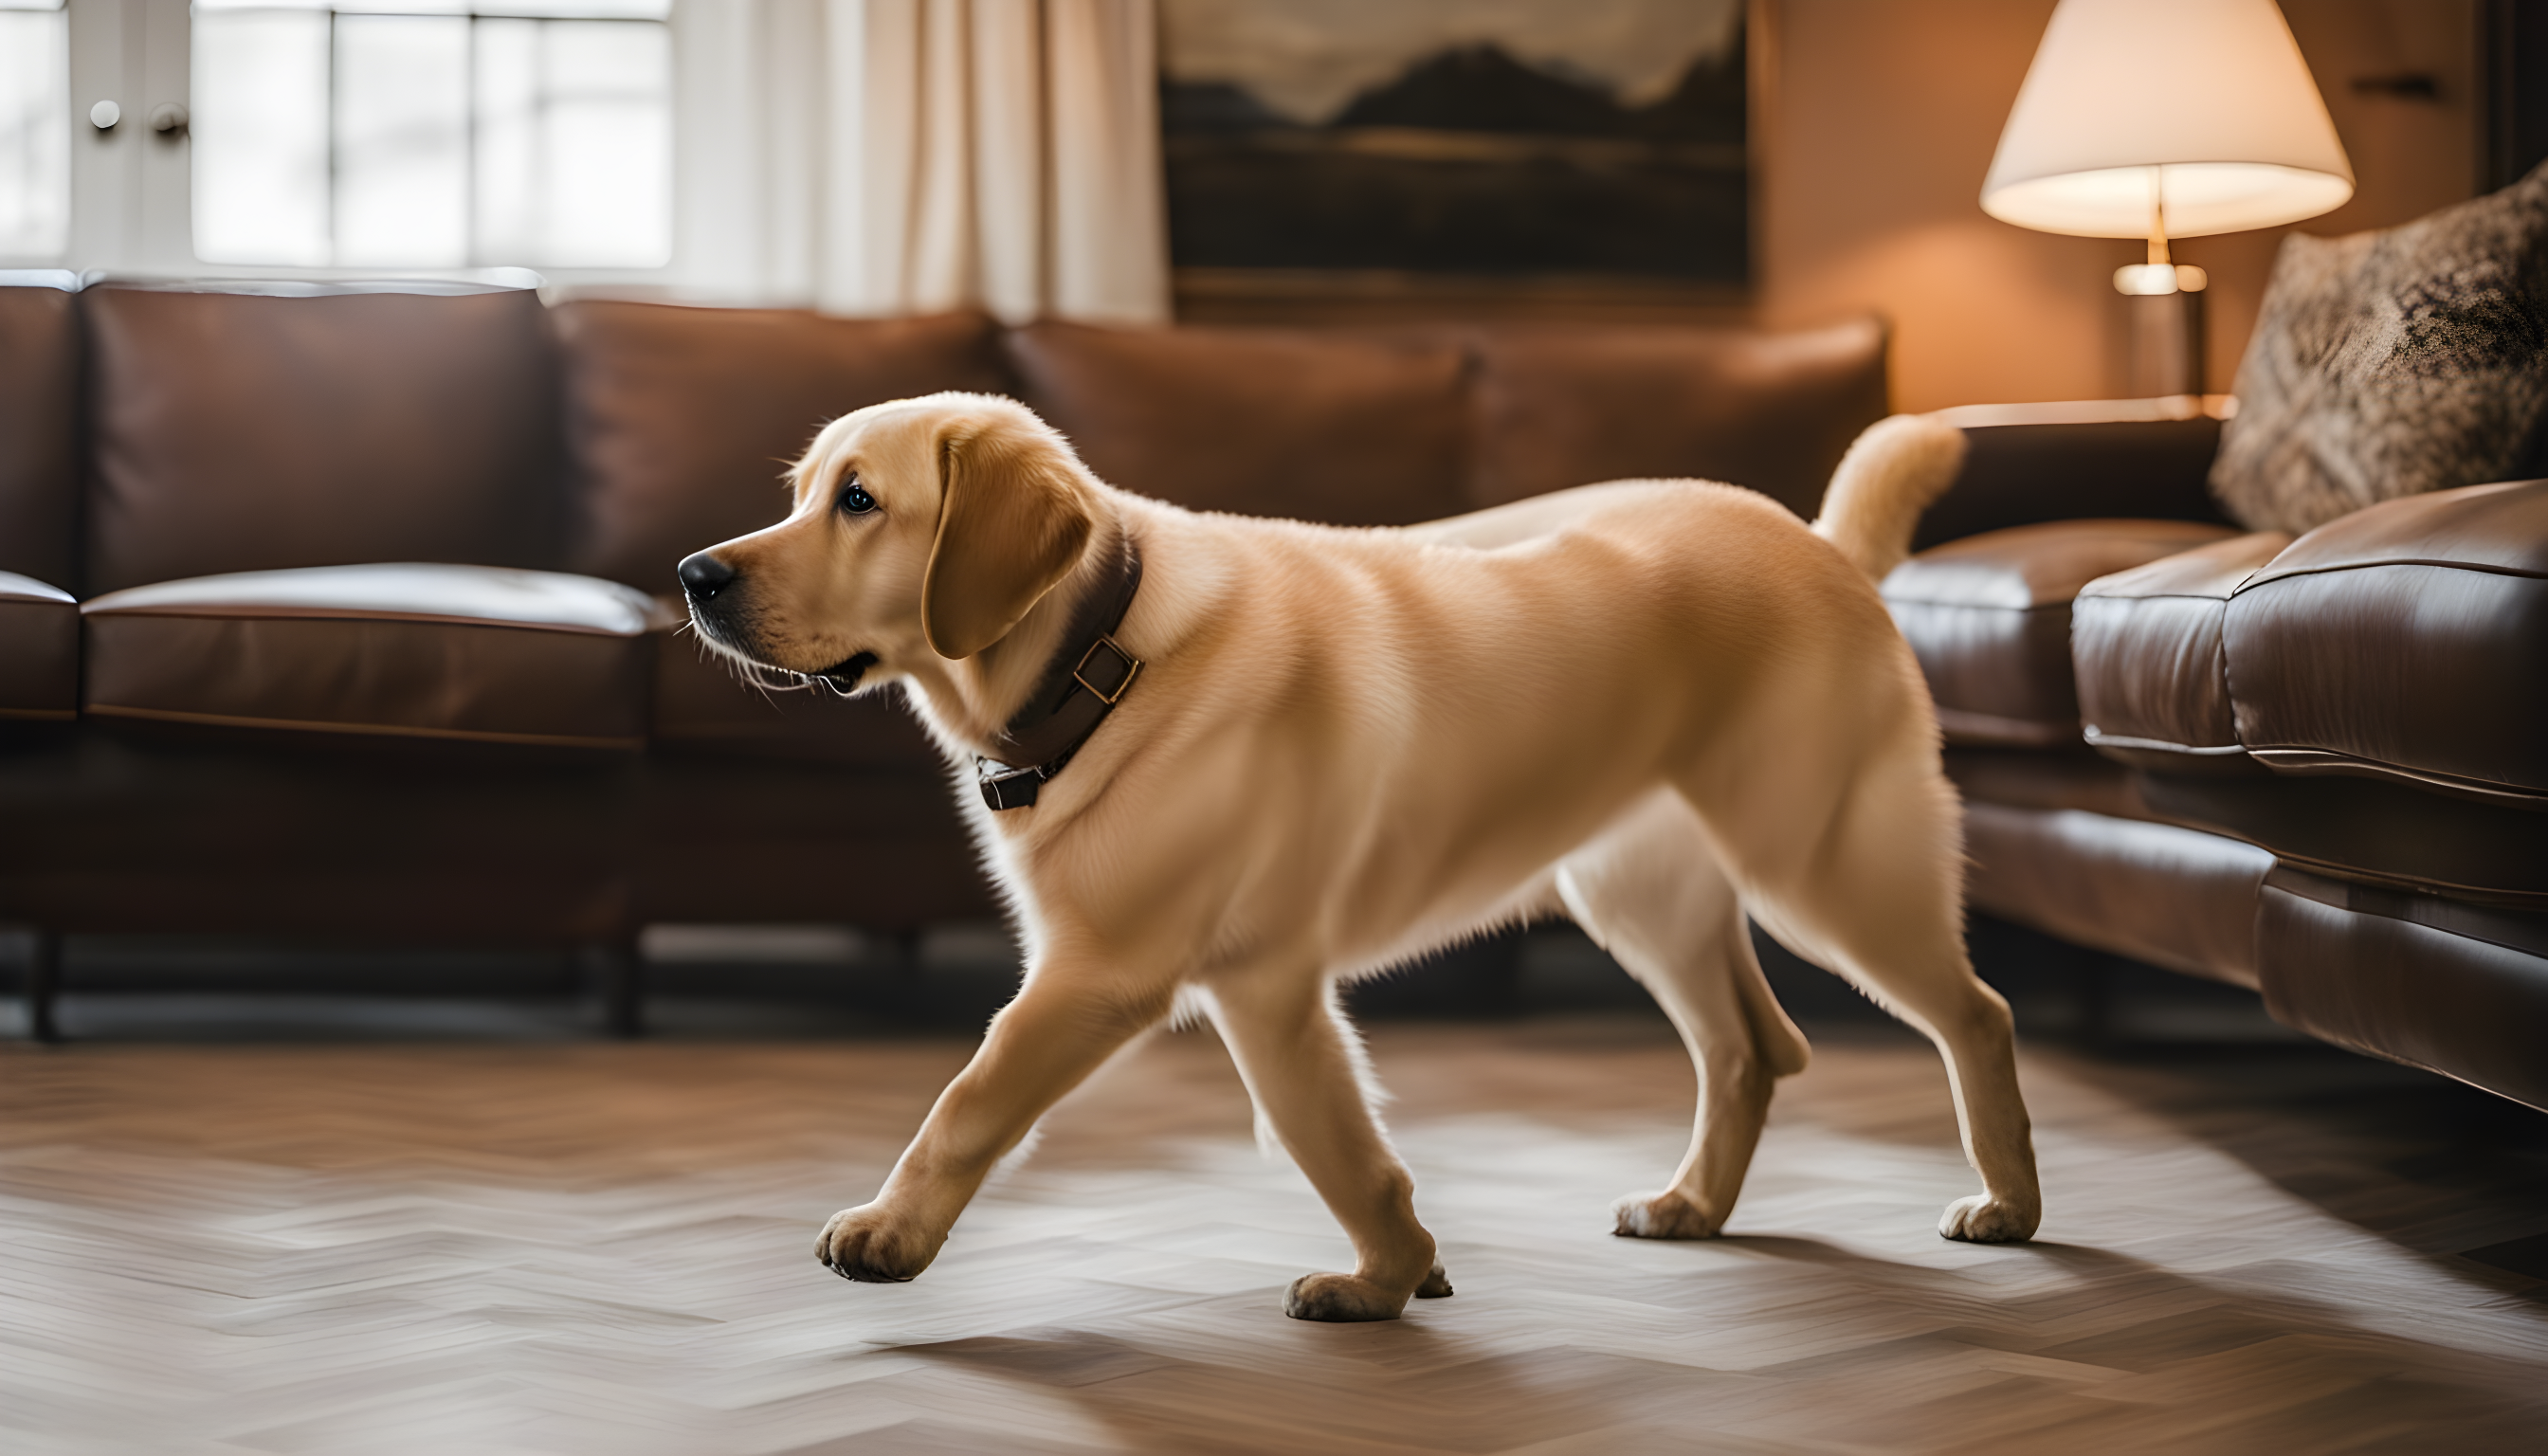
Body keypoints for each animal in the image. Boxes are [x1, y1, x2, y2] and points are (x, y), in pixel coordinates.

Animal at [678, 390, 2028, 1325]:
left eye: (860, 501)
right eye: (803, 489)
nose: (692, 574)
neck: (1107, 655)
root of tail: (1822, 542)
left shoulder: (1109, 975)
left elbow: (969, 1102)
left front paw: (889, 1232)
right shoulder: (1268, 991)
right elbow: (1340, 1139)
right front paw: (1395, 1275)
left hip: (1826, 864)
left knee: (1977, 1011)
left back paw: (2010, 1201)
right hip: (1638, 891)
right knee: (1753, 1046)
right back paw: (1694, 1205)